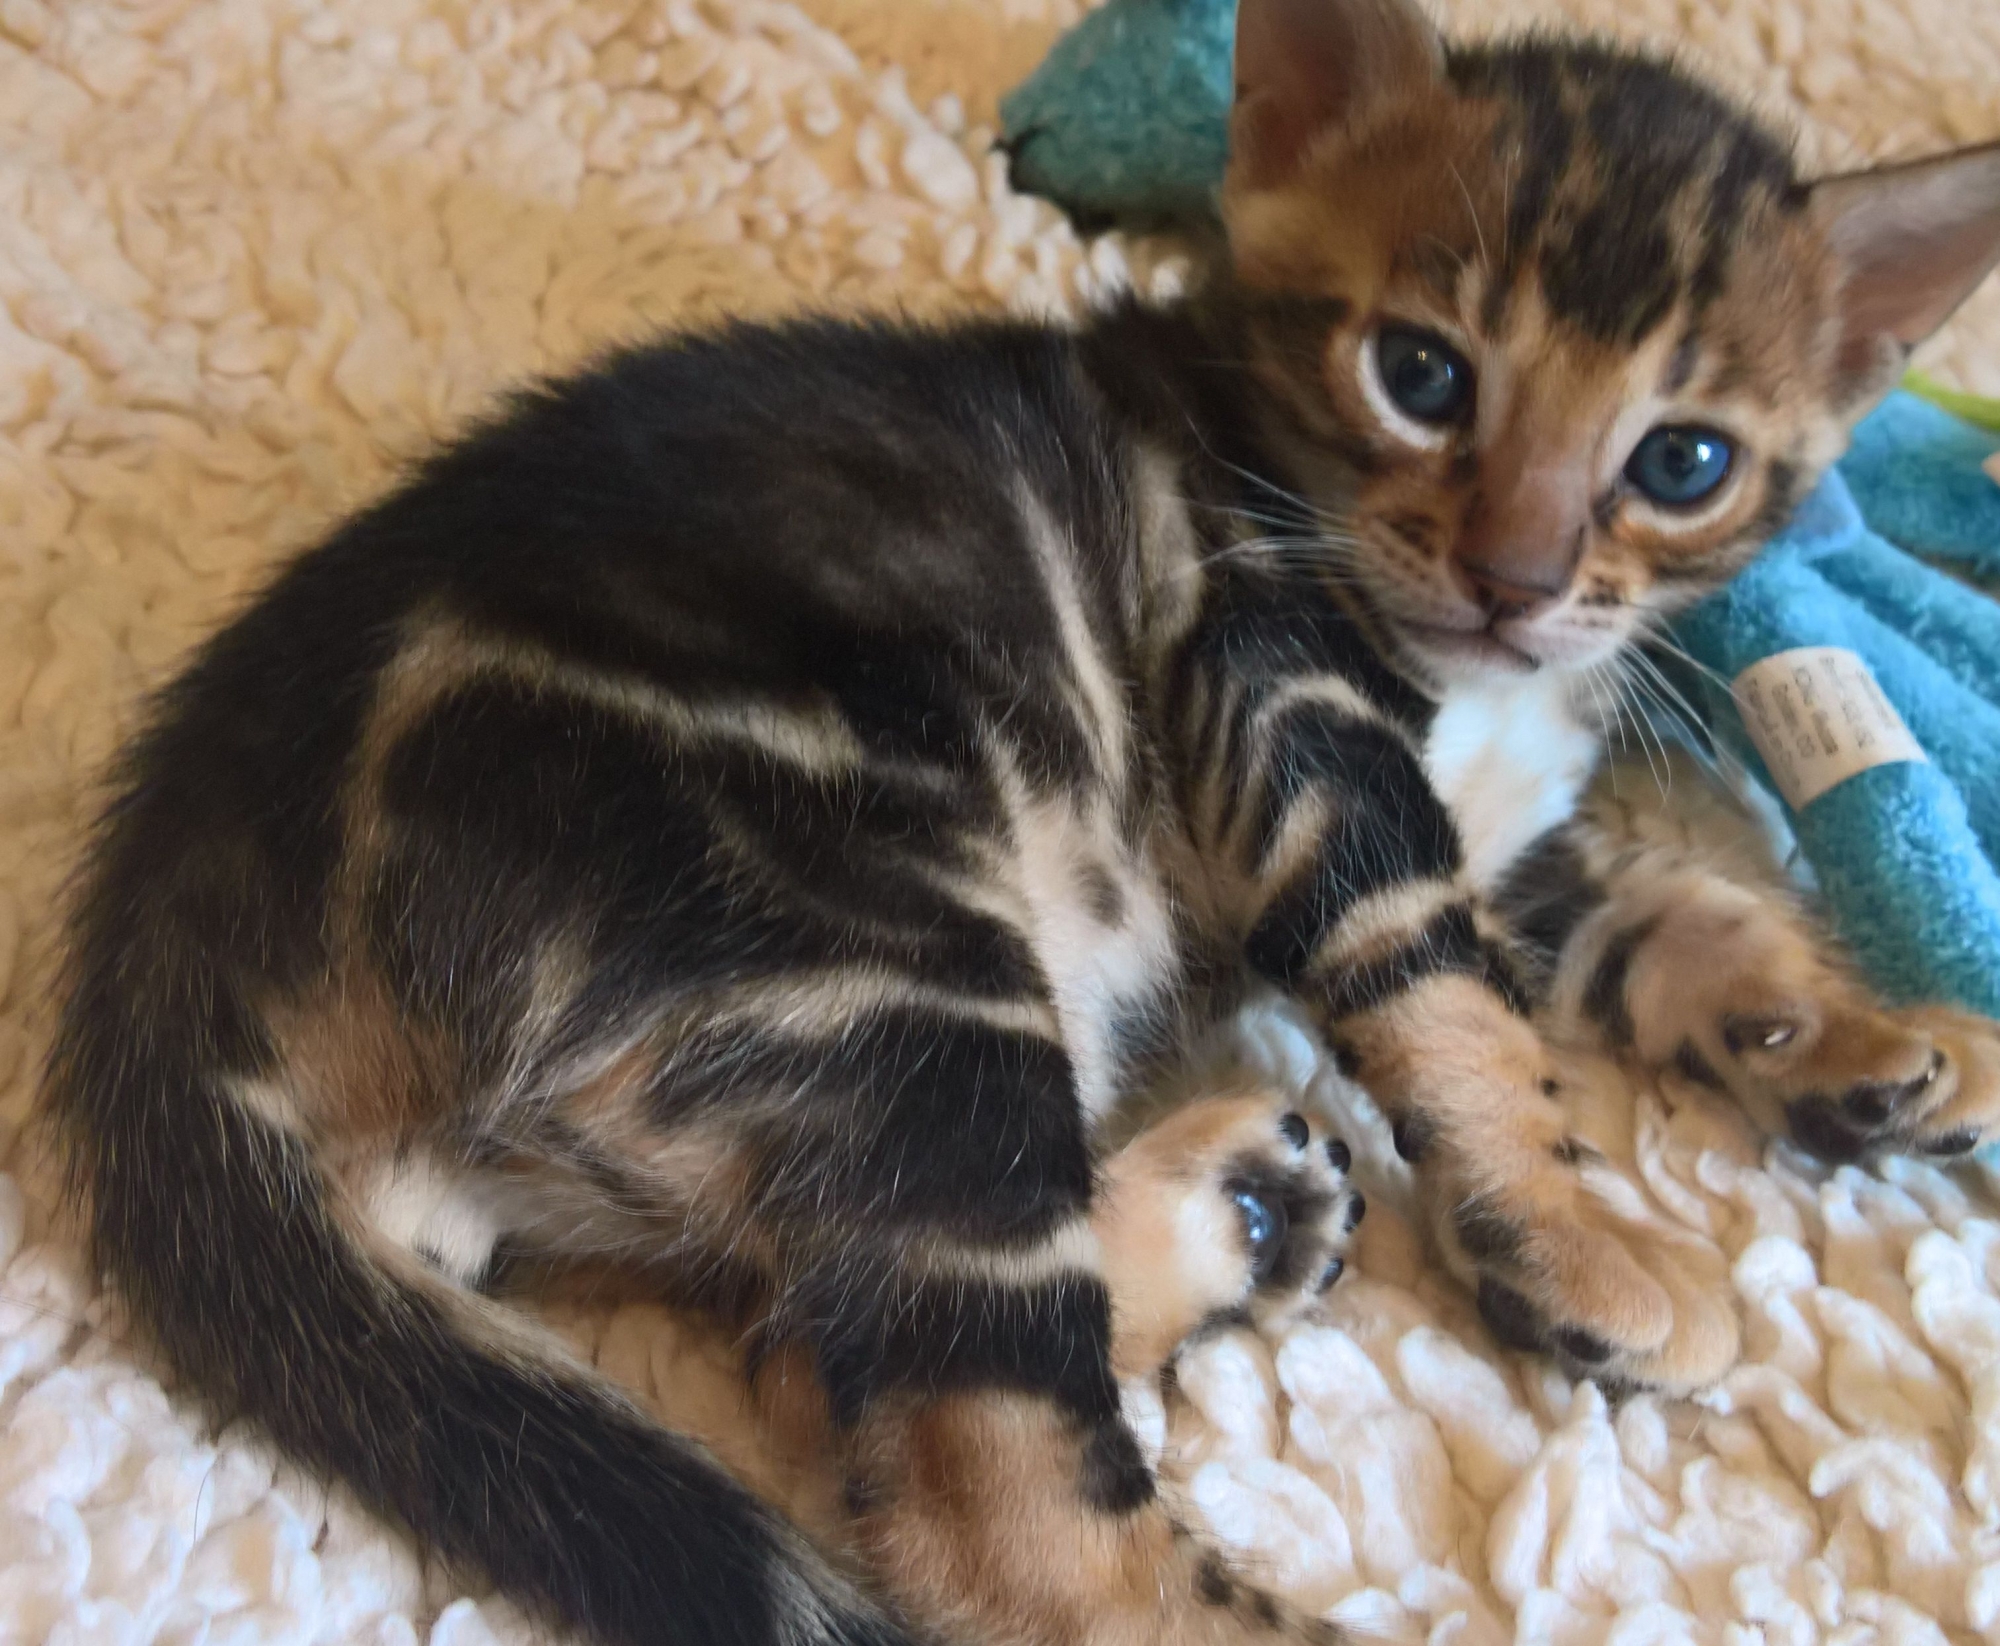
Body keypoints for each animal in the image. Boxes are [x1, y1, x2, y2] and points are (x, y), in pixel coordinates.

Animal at [40, 0, 2000, 1644]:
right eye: (1425, 374)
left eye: (1683, 460)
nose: (1517, 583)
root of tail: (181, 896)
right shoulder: (1284, 700)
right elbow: (1450, 990)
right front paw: (1579, 1221)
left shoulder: (1514, 825)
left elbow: (1662, 909)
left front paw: (1858, 1036)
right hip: (882, 943)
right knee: (989, 1495)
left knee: (816, 1352)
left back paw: (1240, 1209)